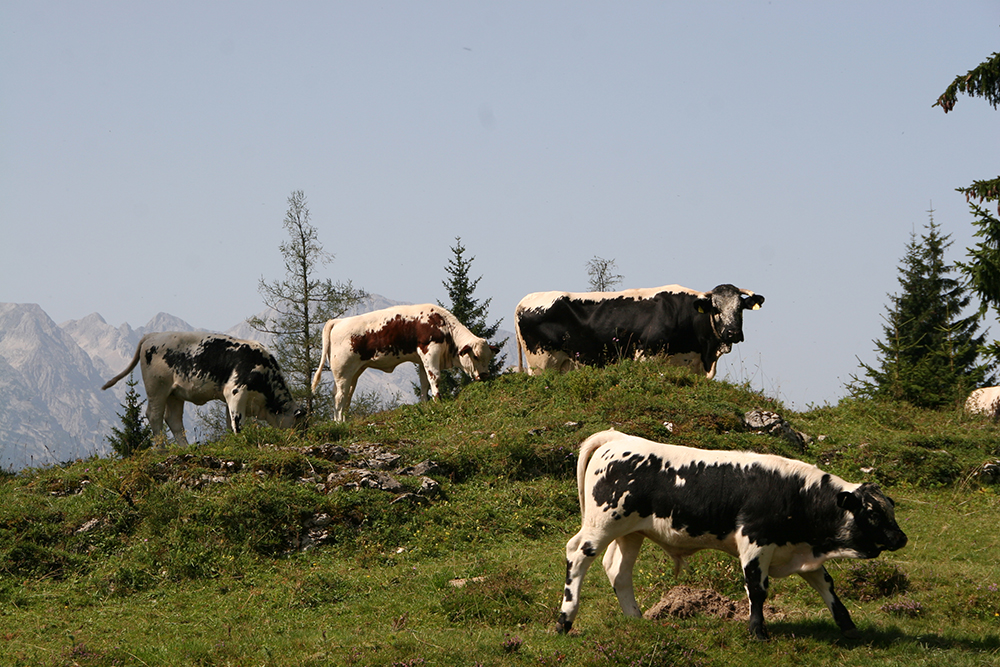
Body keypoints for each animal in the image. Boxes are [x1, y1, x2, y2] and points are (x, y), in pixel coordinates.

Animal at [101, 332, 302, 445]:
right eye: (301, 425)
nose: (300, 438)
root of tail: (152, 335)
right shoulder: (236, 392)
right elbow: (237, 423)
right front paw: (241, 441)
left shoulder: (231, 399)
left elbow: (229, 422)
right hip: (157, 387)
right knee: (154, 415)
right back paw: (161, 449)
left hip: (175, 393)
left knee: (173, 419)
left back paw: (184, 448)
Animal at [311, 304, 499, 421]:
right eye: (475, 356)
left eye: (489, 357)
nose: (484, 375)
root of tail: (338, 321)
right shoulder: (430, 350)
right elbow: (435, 378)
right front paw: (438, 401)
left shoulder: (422, 359)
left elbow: (424, 383)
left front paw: (425, 404)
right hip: (343, 371)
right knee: (339, 397)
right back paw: (338, 423)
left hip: (354, 372)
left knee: (344, 396)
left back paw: (343, 420)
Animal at [515, 284, 764, 379]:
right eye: (716, 308)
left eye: (740, 308)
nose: (733, 333)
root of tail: (523, 301)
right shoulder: (646, 355)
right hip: (542, 363)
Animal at [556, 430, 907, 640]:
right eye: (872, 513)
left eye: (890, 507)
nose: (900, 538)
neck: (796, 494)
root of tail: (618, 437)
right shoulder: (754, 542)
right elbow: (757, 589)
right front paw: (758, 632)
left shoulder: (799, 550)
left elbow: (827, 586)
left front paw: (848, 626)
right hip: (602, 525)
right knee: (577, 556)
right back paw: (564, 620)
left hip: (631, 532)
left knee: (618, 571)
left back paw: (636, 619)